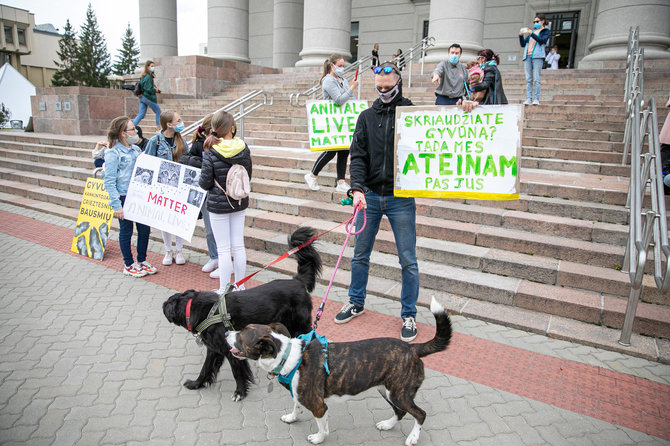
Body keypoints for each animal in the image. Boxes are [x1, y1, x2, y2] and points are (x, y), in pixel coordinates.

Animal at [161, 226, 322, 400]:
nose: (162, 305)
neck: (204, 310)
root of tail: (297, 281)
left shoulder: (232, 349)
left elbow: (237, 372)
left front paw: (240, 392)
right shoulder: (214, 349)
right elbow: (206, 368)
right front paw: (197, 384)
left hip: (300, 324)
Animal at [228, 298, 454, 444]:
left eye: (241, 336)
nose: (226, 332)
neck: (290, 356)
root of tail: (413, 348)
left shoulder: (319, 406)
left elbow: (322, 427)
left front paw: (318, 438)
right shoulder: (299, 395)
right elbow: (296, 406)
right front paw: (292, 418)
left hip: (399, 392)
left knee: (420, 414)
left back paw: (413, 438)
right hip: (387, 390)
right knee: (400, 412)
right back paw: (387, 425)